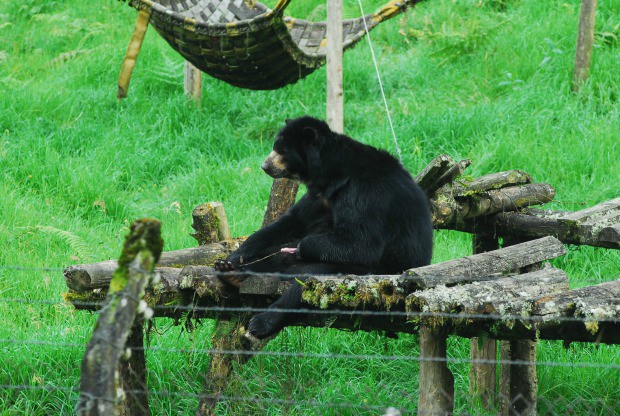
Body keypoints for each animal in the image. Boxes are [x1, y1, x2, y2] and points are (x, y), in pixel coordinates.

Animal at [216, 116, 434, 338]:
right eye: (275, 147)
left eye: (282, 151)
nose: (265, 166)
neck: (331, 175)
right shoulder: (319, 197)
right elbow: (290, 222)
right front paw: (234, 257)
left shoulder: (364, 193)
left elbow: (361, 243)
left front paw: (301, 247)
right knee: (274, 255)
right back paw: (233, 273)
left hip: (371, 269)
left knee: (309, 281)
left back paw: (261, 322)